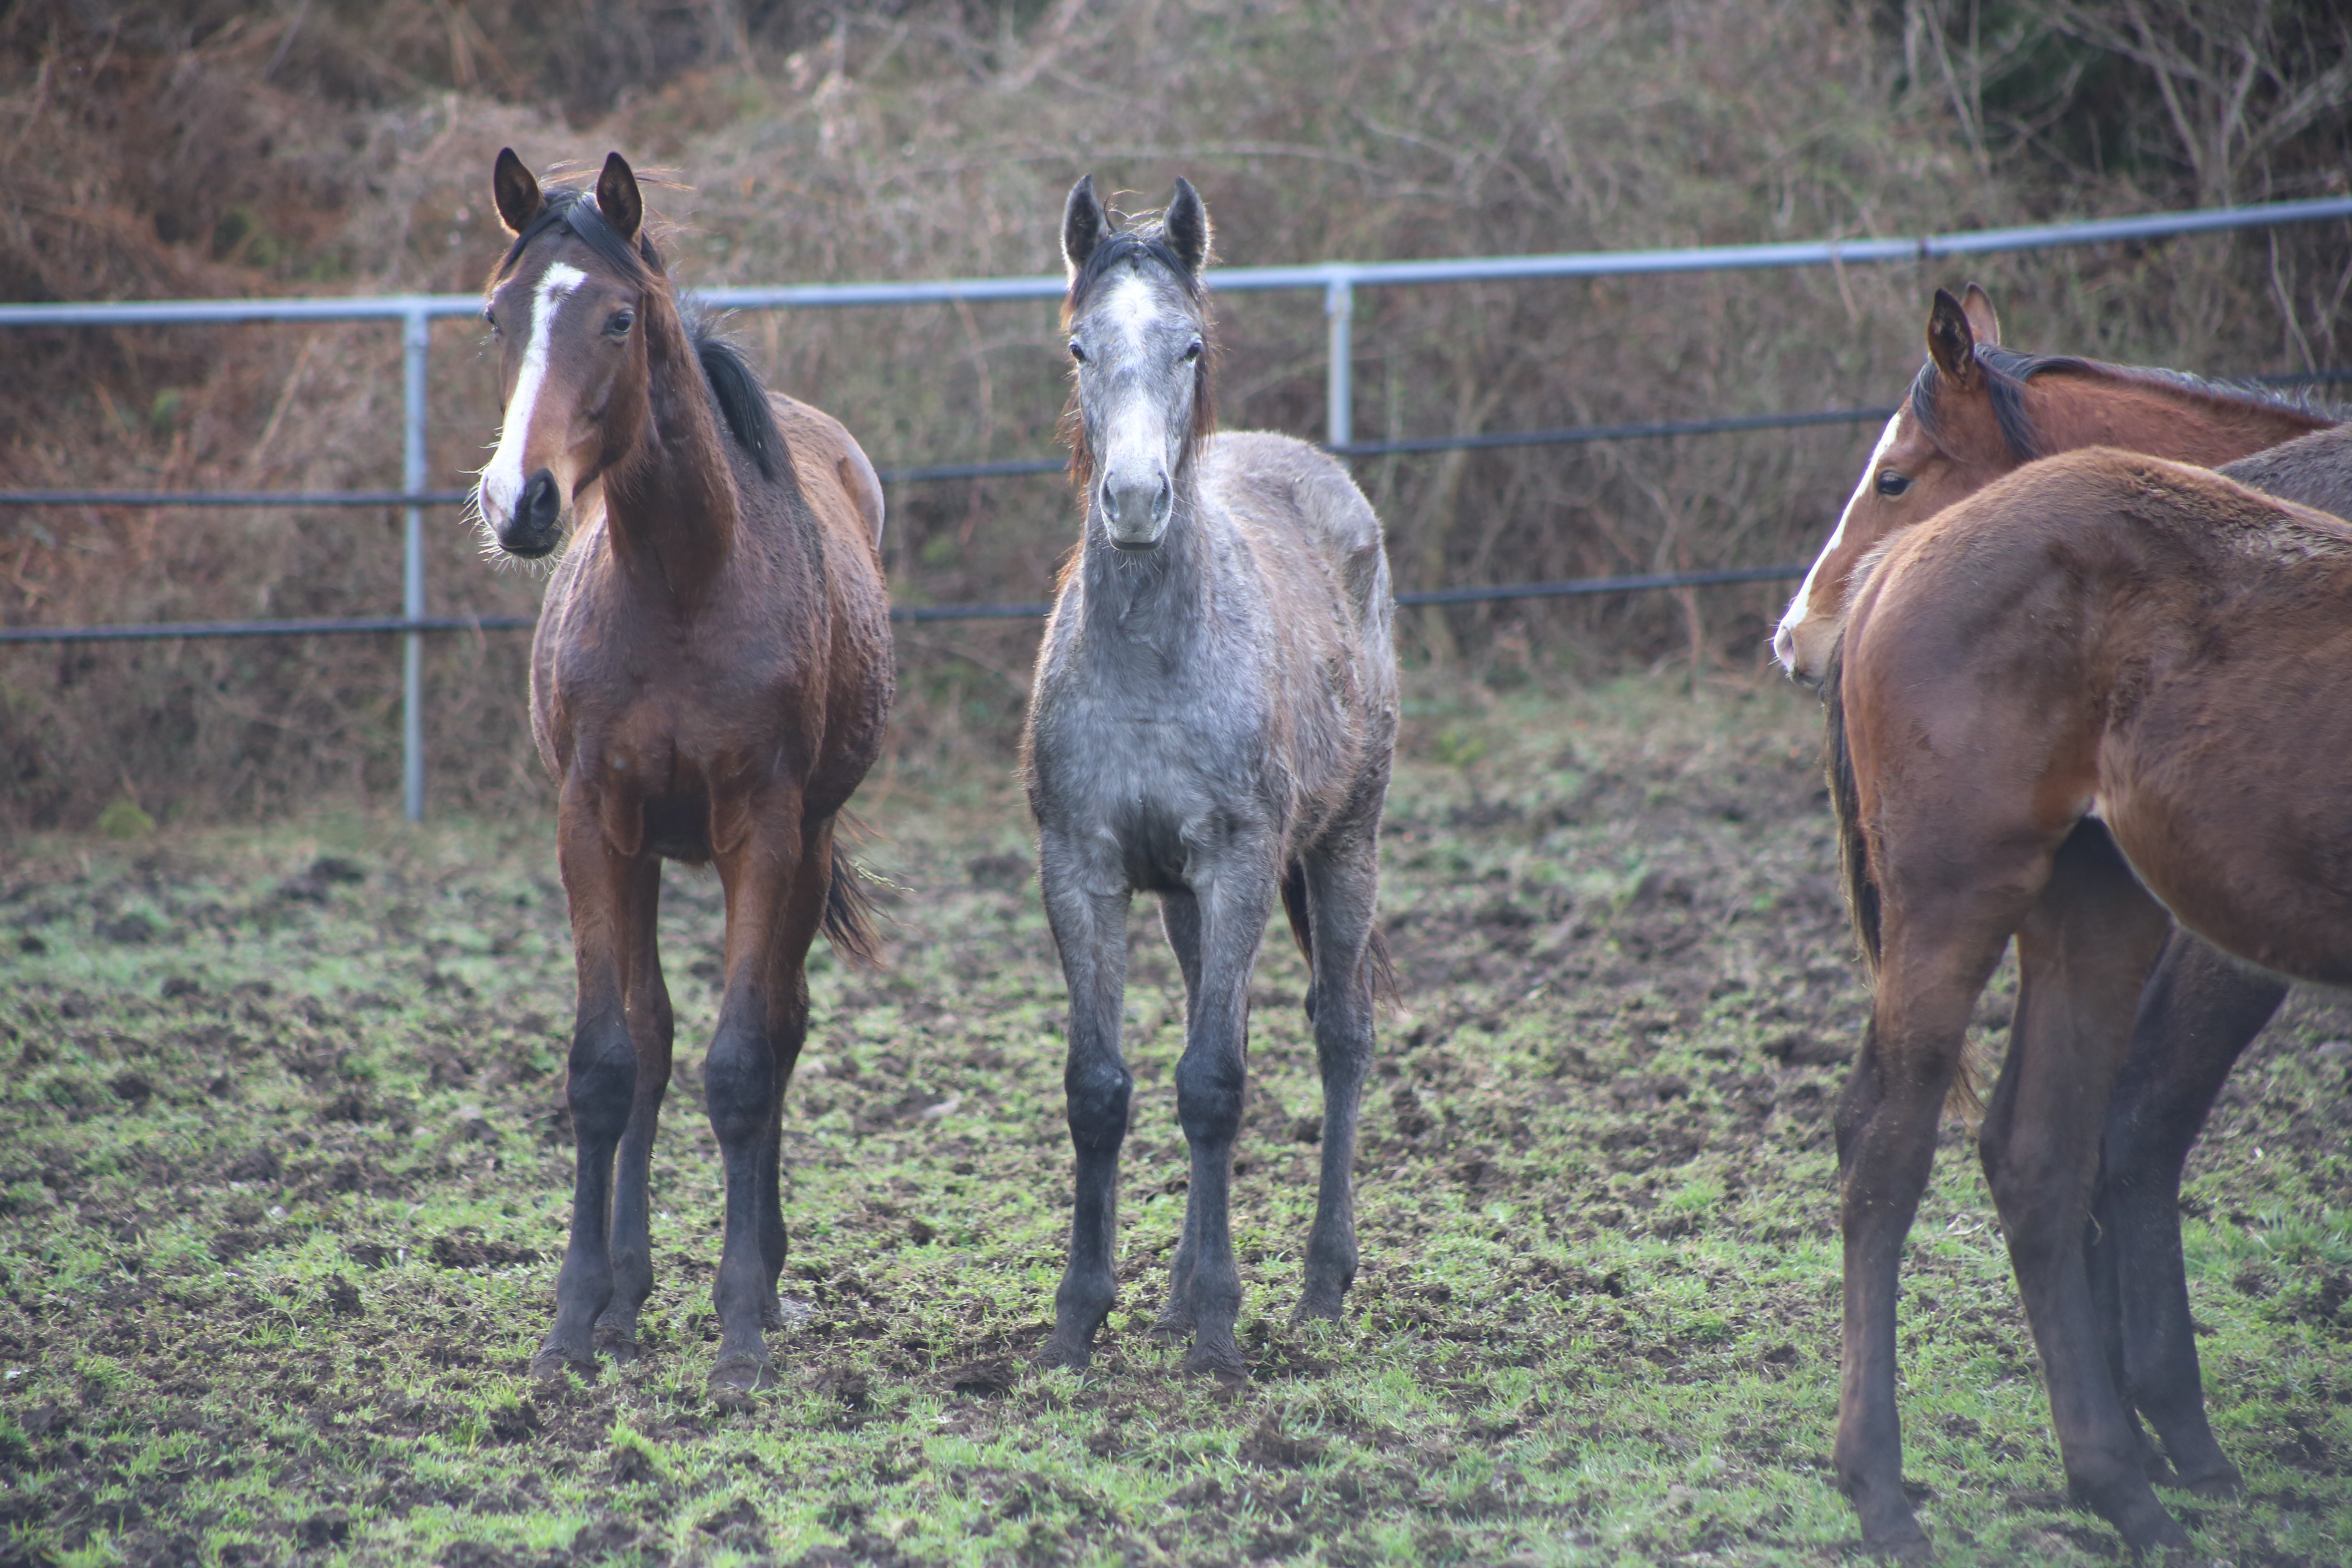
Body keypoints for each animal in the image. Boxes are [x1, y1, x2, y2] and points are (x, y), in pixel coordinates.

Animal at [475, 150, 889, 1401]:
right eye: (496, 316)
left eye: (618, 319)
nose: (520, 502)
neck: (678, 585)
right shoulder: (591, 824)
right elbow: (609, 1063)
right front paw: (573, 1322)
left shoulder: (766, 830)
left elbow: (744, 1063)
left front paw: (741, 1329)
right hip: (649, 849)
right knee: (653, 1036)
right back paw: (628, 1293)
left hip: (805, 845)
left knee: (780, 1028)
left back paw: (763, 1272)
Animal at [1025, 177, 1392, 1382]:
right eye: (1081, 348)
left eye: (1188, 344)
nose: (1135, 501)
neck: (1153, 657)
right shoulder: (1083, 868)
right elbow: (1104, 1089)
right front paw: (1079, 1318)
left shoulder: (1238, 864)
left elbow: (1216, 1084)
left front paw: (1226, 1330)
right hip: (1185, 898)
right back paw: (1179, 1296)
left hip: (1344, 844)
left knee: (1339, 1035)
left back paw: (1318, 1285)